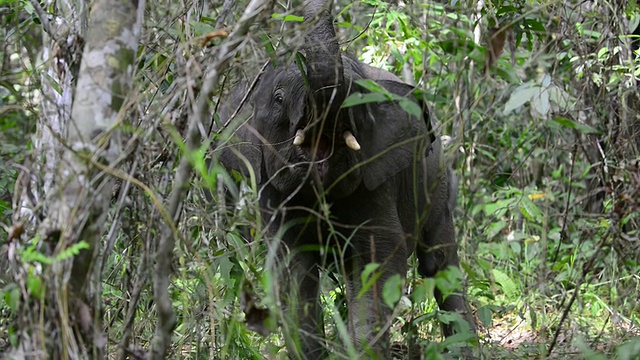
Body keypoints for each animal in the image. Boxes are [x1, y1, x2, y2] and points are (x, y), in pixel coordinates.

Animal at [214, 0, 476, 358]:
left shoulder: (376, 183)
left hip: (439, 186)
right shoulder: (273, 194)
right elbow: (292, 270)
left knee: (440, 264)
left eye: (360, 95)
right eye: (279, 98)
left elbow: (376, 261)